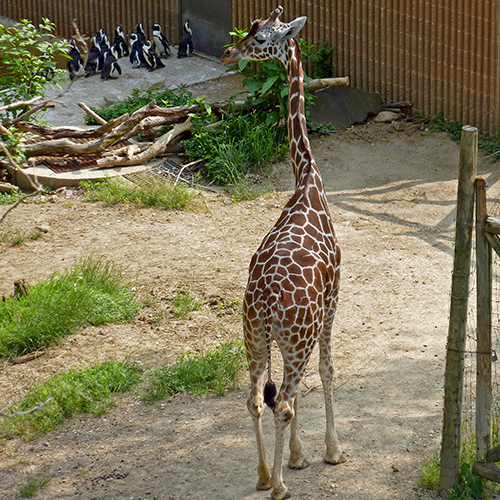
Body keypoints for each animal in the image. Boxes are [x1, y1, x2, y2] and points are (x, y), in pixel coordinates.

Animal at [221, 6, 346, 500]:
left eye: (259, 34)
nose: (229, 51)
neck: (307, 178)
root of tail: (270, 304)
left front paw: (295, 456)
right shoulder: (333, 301)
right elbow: (328, 372)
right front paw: (329, 451)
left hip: (254, 335)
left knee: (256, 399)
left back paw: (261, 475)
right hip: (295, 339)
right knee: (286, 402)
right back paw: (278, 487)